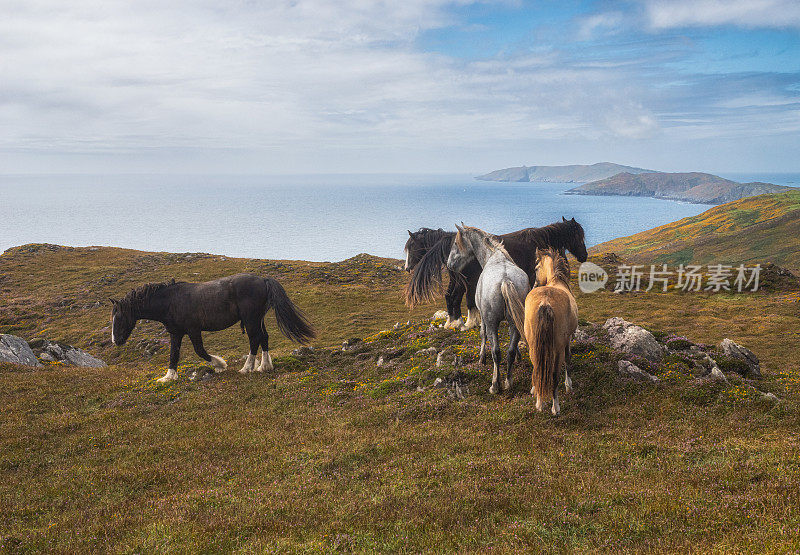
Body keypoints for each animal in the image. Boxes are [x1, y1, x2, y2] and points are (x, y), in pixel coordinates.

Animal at [108, 274, 314, 382]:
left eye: (119, 318)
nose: (115, 341)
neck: (170, 301)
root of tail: (263, 279)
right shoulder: (176, 333)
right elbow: (173, 355)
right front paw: (168, 377)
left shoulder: (193, 330)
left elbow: (200, 351)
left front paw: (220, 365)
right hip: (257, 319)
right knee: (264, 337)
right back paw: (264, 367)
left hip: (251, 320)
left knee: (255, 339)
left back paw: (247, 368)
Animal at [406, 218, 588, 330]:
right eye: (579, 236)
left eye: (411, 246)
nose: (584, 256)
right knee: (456, 297)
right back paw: (459, 323)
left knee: (452, 296)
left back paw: (453, 323)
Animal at [444, 226, 532, 396]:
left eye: (456, 244)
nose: (449, 264)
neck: (494, 257)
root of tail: (505, 280)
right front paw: (518, 356)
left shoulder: (484, 317)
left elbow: (482, 334)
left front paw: (481, 358)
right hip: (514, 322)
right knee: (509, 351)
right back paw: (508, 382)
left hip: (492, 323)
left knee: (496, 352)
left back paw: (495, 385)